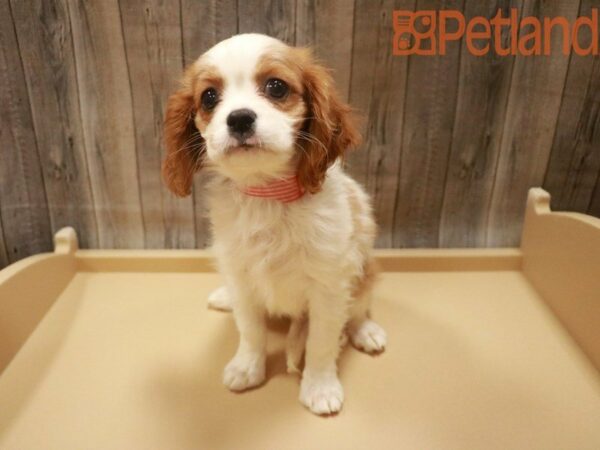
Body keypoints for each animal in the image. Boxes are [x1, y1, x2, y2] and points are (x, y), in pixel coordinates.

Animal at [162, 34, 386, 414]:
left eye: (276, 87)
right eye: (209, 97)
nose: (239, 118)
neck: (268, 195)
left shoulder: (329, 287)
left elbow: (321, 341)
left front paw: (320, 386)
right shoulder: (241, 274)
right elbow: (251, 330)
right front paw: (247, 367)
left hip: (365, 270)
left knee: (358, 308)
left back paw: (365, 331)